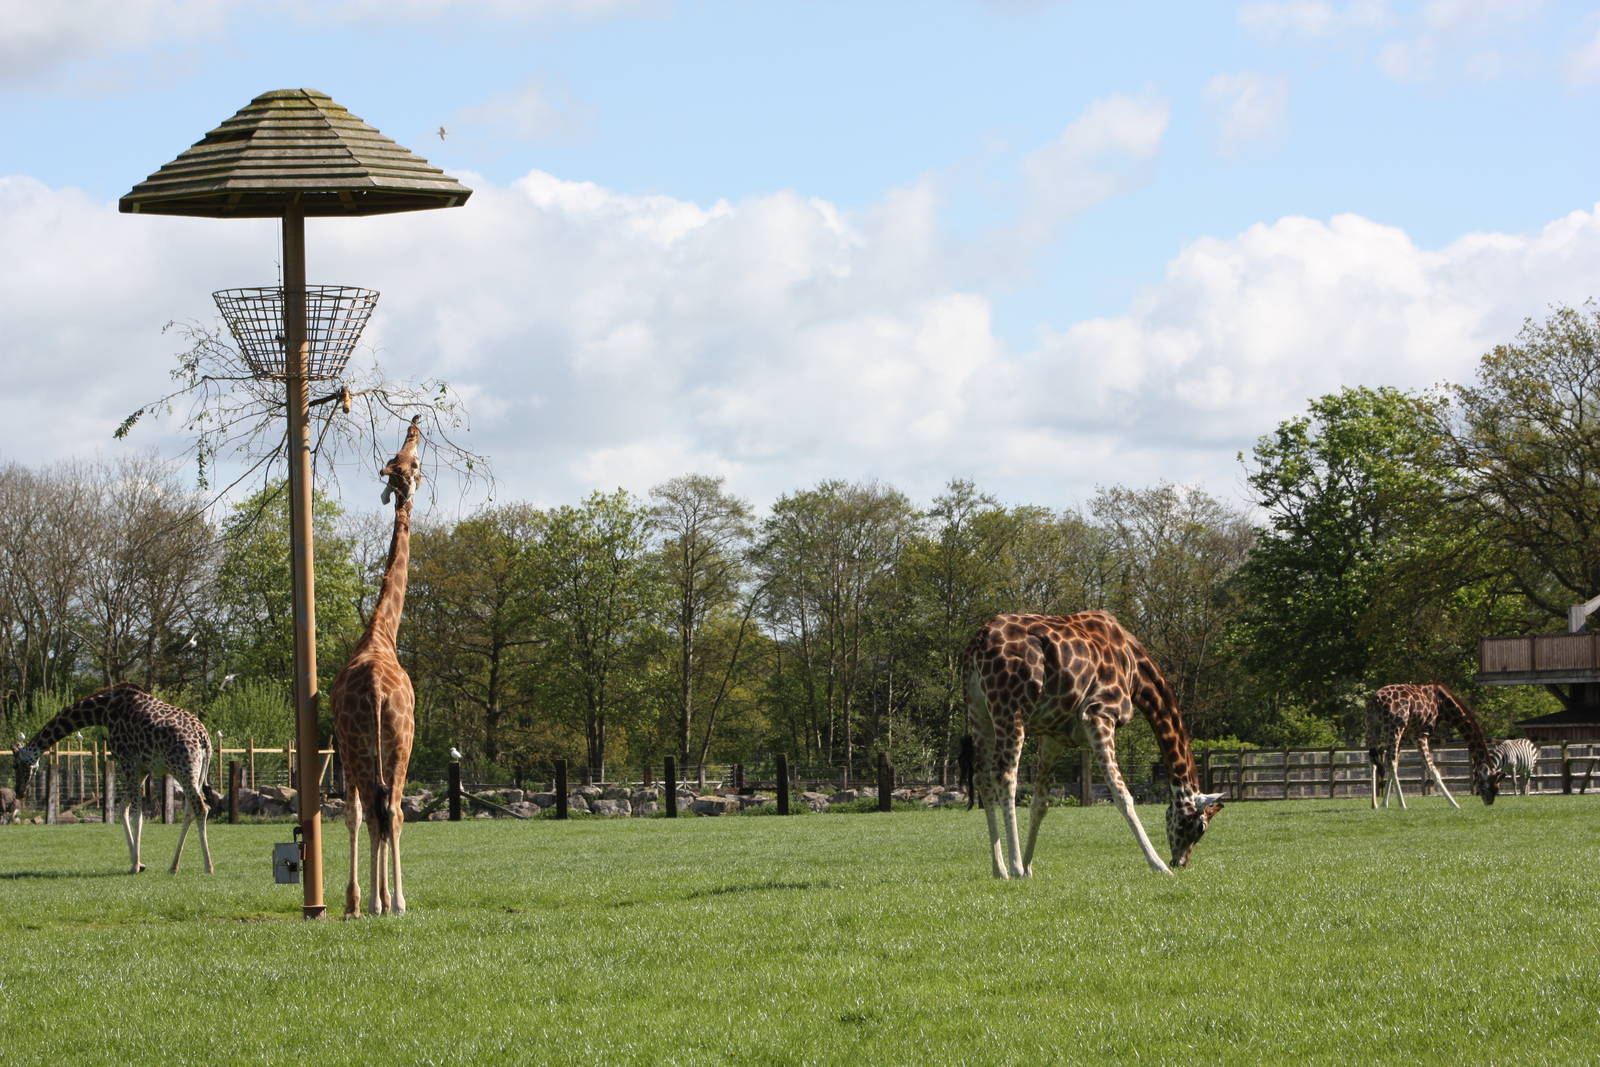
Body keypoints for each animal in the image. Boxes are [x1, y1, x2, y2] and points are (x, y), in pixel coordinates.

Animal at [11, 683, 220, 873]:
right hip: (195, 774)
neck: (102, 711)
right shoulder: (142, 769)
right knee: (191, 810)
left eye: (16, 765)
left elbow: (136, 814)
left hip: (184, 770)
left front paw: (135, 865)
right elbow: (122, 809)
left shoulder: (128, 762)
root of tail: (204, 739)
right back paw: (173, 866)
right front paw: (139, 863)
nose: (18, 791)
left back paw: (208, 866)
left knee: (201, 808)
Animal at [960, 612, 1224, 877]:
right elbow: (1122, 794)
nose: (1180, 861)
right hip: (1012, 709)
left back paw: (1000, 869)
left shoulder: (1053, 736)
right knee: (1005, 775)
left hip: (979, 711)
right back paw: (1012, 866)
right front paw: (1158, 865)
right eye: (1199, 827)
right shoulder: (1099, 715)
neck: (1136, 672)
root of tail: (977, 643)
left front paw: (1028, 868)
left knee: (982, 777)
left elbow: (1040, 803)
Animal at [1367, 683, 1499, 809]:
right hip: (1395, 728)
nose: (1489, 802)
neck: (1443, 704)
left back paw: (1374, 804)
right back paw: (1403, 805)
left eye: (1497, 788)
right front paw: (1455, 804)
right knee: (1390, 762)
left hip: (1374, 727)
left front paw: (1384, 803)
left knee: (1374, 760)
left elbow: (1392, 763)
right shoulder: (1420, 734)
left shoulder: (1406, 735)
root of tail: (1375, 700)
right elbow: (1433, 769)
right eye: (1487, 786)